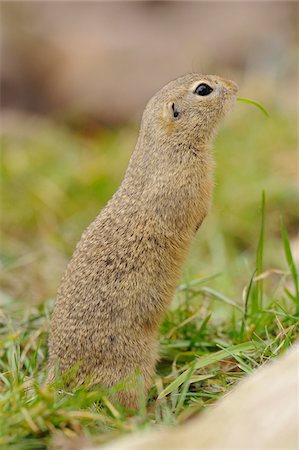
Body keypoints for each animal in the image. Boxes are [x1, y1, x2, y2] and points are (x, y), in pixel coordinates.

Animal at [47, 74, 239, 408]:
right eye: (203, 89)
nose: (235, 87)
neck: (169, 144)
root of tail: (58, 377)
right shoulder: (189, 186)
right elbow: (195, 210)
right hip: (132, 362)